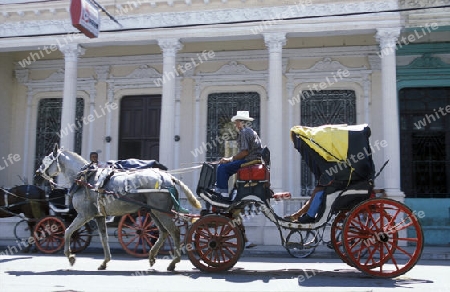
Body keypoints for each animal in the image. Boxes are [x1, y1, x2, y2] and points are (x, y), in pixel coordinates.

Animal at [36, 145, 201, 270]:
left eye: (46, 159)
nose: (38, 172)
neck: (85, 179)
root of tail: (168, 177)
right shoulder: (99, 216)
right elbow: (103, 238)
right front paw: (105, 262)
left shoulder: (84, 215)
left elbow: (68, 231)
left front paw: (70, 256)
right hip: (154, 211)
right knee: (163, 232)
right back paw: (152, 256)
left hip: (161, 212)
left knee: (174, 231)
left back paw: (173, 262)